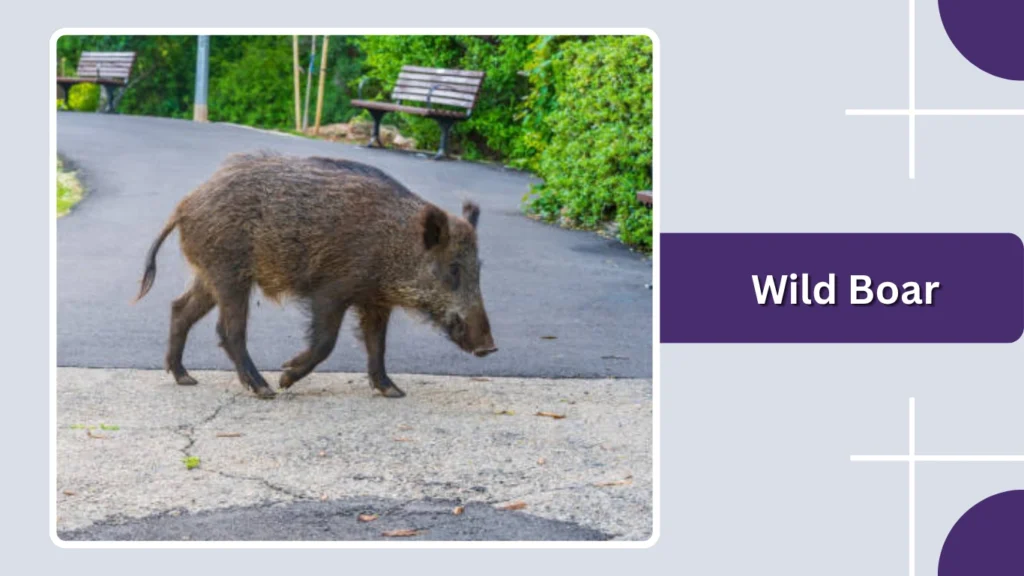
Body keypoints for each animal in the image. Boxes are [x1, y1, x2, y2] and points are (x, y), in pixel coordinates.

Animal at [134, 152, 496, 399]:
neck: (392, 245)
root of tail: (185, 204)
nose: (489, 347)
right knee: (228, 330)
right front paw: (285, 375)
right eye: (453, 268)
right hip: (230, 274)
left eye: (479, 269)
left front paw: (392, 391)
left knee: (180, 309)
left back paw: (185, 378)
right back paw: (264, 389)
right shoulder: (330, 290)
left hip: (211, 276)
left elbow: (377, 344)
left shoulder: (374, 301)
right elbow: (326, 342)